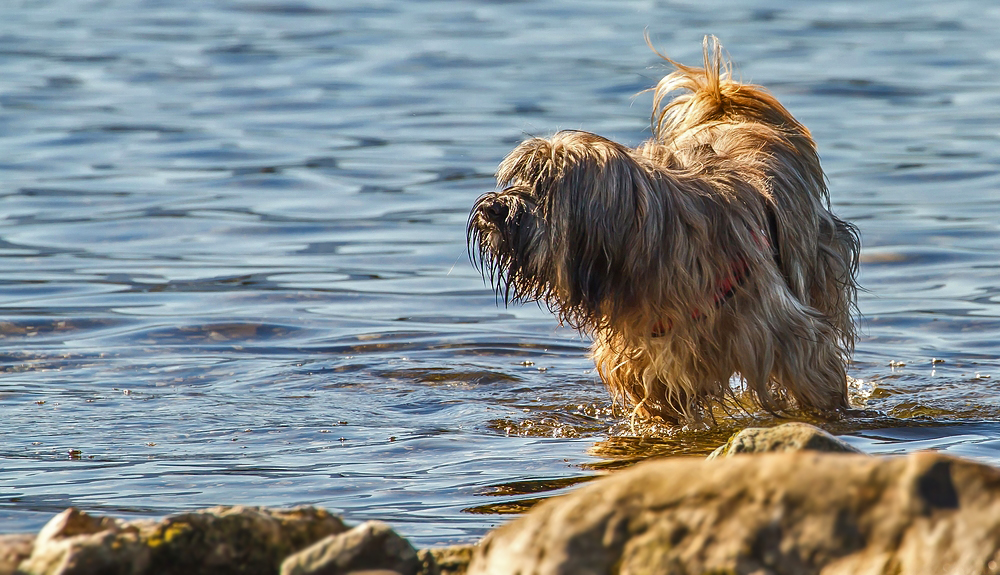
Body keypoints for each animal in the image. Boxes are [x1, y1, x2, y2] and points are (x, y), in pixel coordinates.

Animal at [468, 35, 860, 424]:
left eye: (543, 186)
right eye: (517, 178)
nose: (491, 208)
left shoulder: (790, 336)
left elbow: (816, 379)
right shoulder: (641, 361)